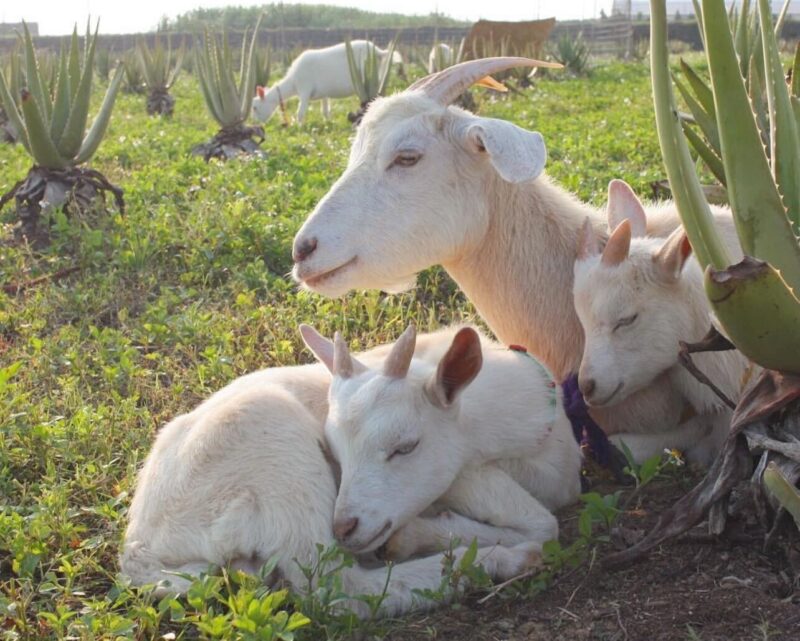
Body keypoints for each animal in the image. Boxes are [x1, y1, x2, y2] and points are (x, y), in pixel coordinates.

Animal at [119, 324, 580, 616]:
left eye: (405, 447)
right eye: (333, 454)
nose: (344, 527)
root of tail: (142, 549)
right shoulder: (464, 474)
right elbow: (544, 524)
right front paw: (416, 537)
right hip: (278, 450)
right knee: (338, 591)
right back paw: (503, 561)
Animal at [253, 41, 404, 125]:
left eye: (255, 107)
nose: (259, 124)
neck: (292, 83)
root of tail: (378, 51)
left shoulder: (304, 89)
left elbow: (300, 111)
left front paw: (299, 127)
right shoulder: (323, 94)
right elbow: (325, 111)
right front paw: (328, 123)